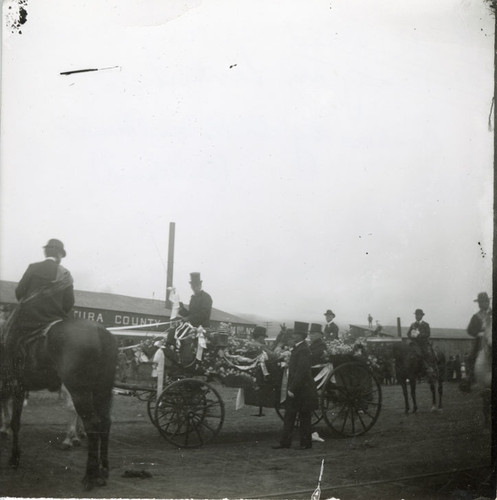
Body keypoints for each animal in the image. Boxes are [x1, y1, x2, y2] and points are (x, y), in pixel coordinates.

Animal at [0, 318, 116, 490]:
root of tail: (100, 331)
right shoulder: (18, 389)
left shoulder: (17, 388)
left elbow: (15, 422)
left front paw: (14, 458)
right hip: (102, 390)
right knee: (105, 423)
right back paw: (103, 470)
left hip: (79, 391)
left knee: (91, 424)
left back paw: (90, 475)